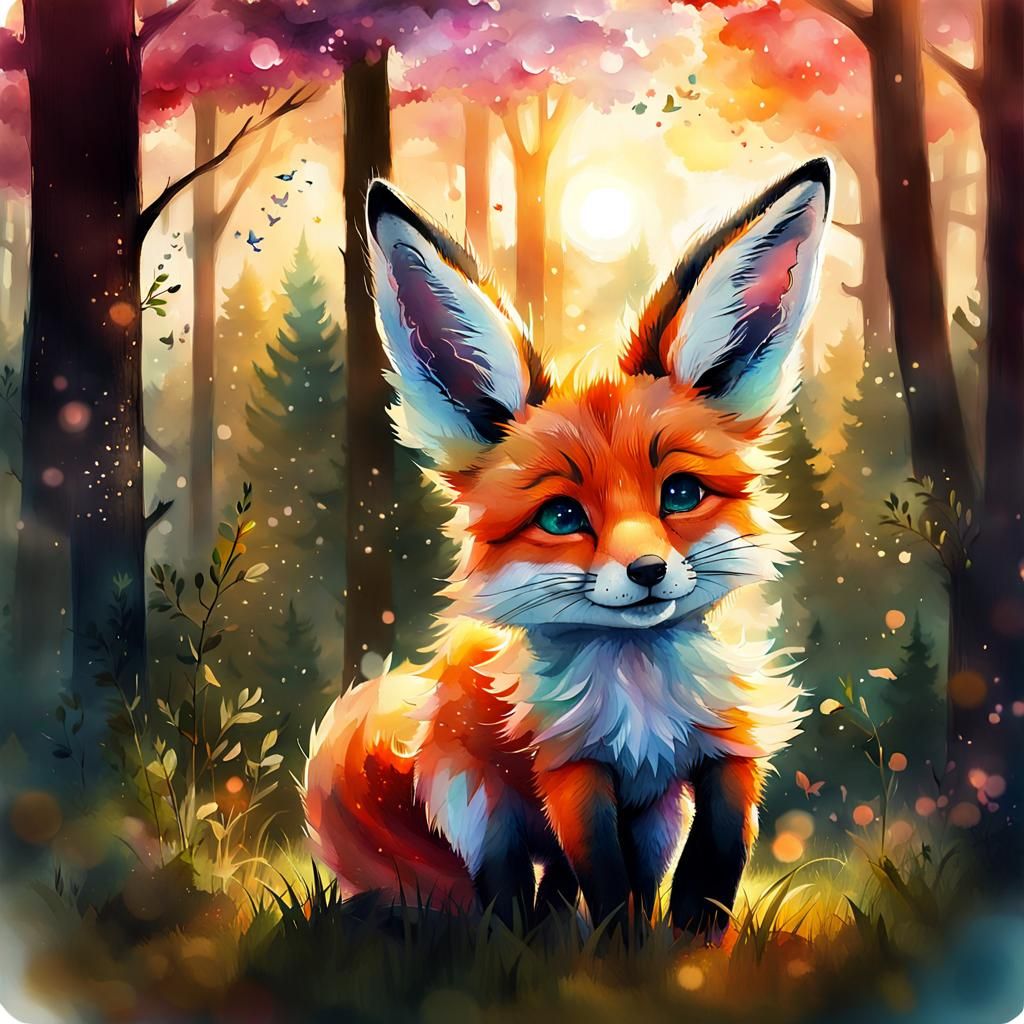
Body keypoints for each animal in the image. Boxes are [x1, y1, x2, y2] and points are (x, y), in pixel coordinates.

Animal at [305, 157, 833, 936]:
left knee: (565, 884)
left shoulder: (726, 753)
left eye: (681, 494)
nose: (648, 570)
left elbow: (712, 867)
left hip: (653, 820)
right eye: (561, 517)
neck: (643, 701)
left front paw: (693, 952)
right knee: (508, 893)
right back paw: (516, 941)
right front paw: (622, 957)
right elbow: (606, 884)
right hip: (481, 809)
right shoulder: (572, 774)